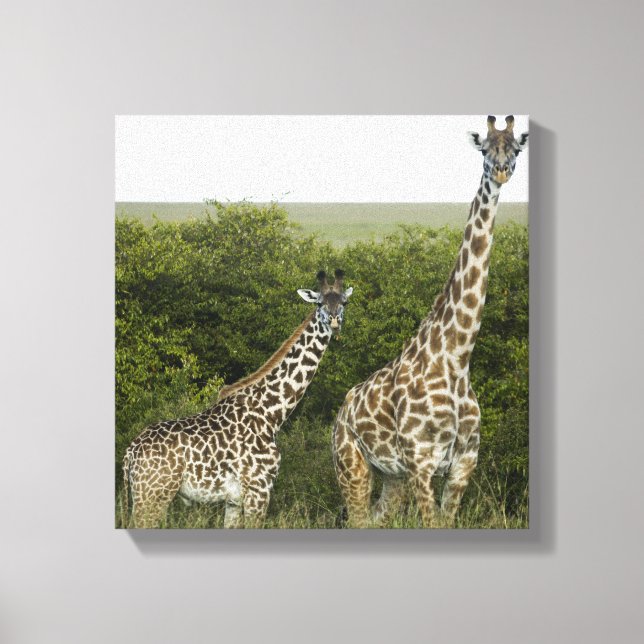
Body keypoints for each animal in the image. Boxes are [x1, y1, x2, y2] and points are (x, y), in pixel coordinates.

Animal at [122, 269, 353, 528]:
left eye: (344, 302)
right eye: (320, 303)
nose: (334, 321)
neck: (272, 413)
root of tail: (130, 454)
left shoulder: (233, 500)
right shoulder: (259, 489)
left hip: (144, 496)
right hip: (153, 496)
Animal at [332, 115, 528, 527]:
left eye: (516, 148)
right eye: (485, 148)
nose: (501, 171)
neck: (456, 356)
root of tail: (341, 413)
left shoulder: (463, 465)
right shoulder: (421, 463)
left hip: (392, 478)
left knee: (374, 519)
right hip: (352, 466)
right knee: (356, 517)